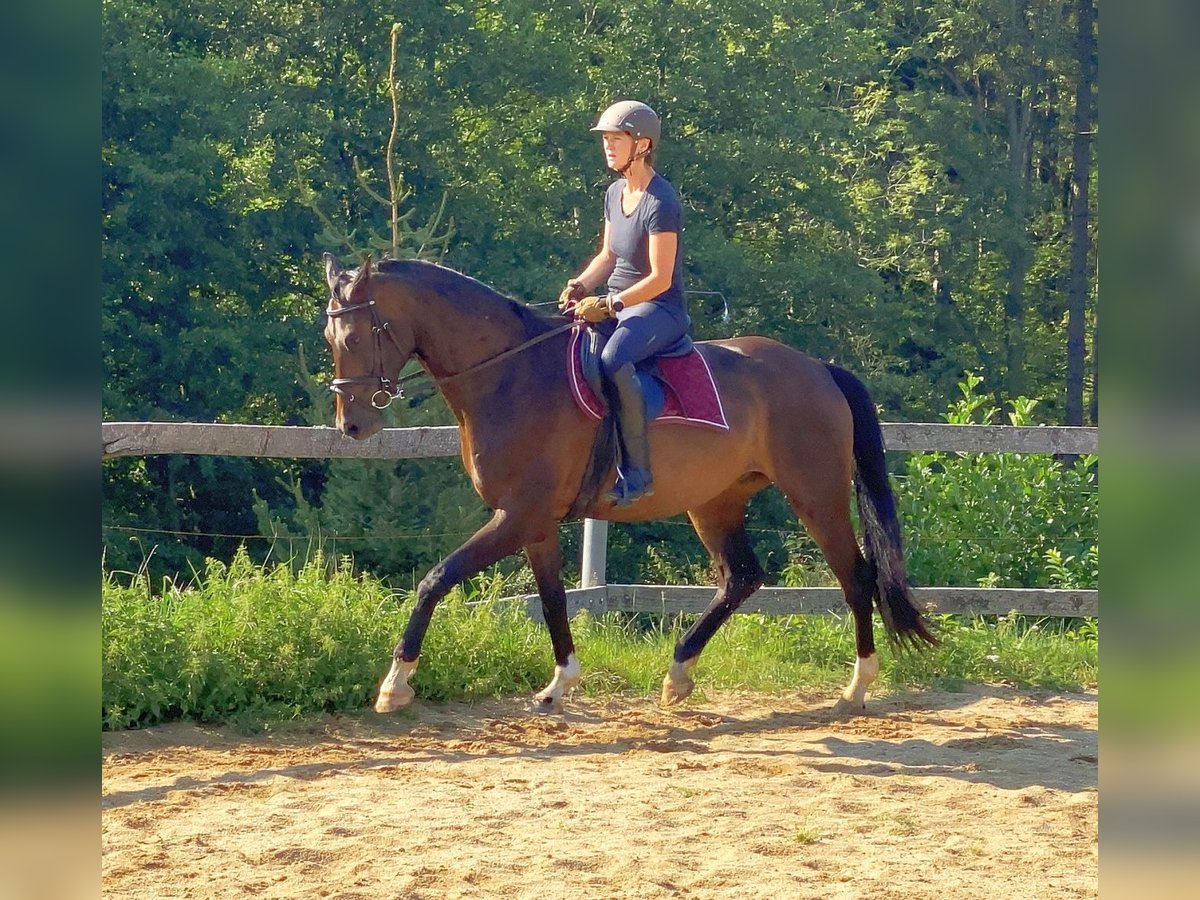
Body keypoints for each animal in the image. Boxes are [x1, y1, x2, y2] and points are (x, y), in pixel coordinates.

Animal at [321, 255, 936, 720]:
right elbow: (552, 599)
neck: (511, 376)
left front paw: (396, 683)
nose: (353, 426)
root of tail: (816, 367)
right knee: (741, 578)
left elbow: (436, 579)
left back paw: (857, 687)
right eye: (330, 336)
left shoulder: (518, 516)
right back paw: (679, 673)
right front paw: (560, 683)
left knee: (855, 577)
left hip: (816, 495)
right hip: (715, 502)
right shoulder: (535, 523)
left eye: (358, 333)